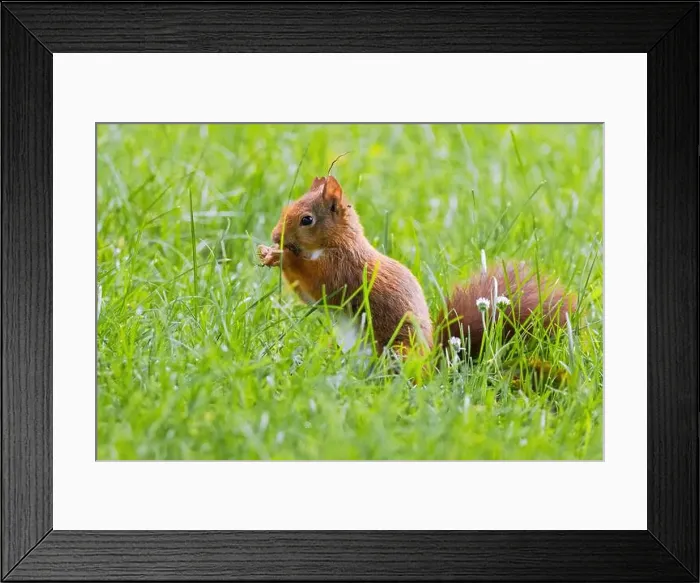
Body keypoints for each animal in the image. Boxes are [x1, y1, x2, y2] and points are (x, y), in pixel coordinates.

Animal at [257, 175, 576, 358]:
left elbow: (319, 285)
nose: (275, 236)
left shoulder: (343, 269)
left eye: (307, 219)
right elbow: (309, 296)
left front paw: (283, 256)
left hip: (399, 349)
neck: (338, 243)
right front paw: (269, 254)